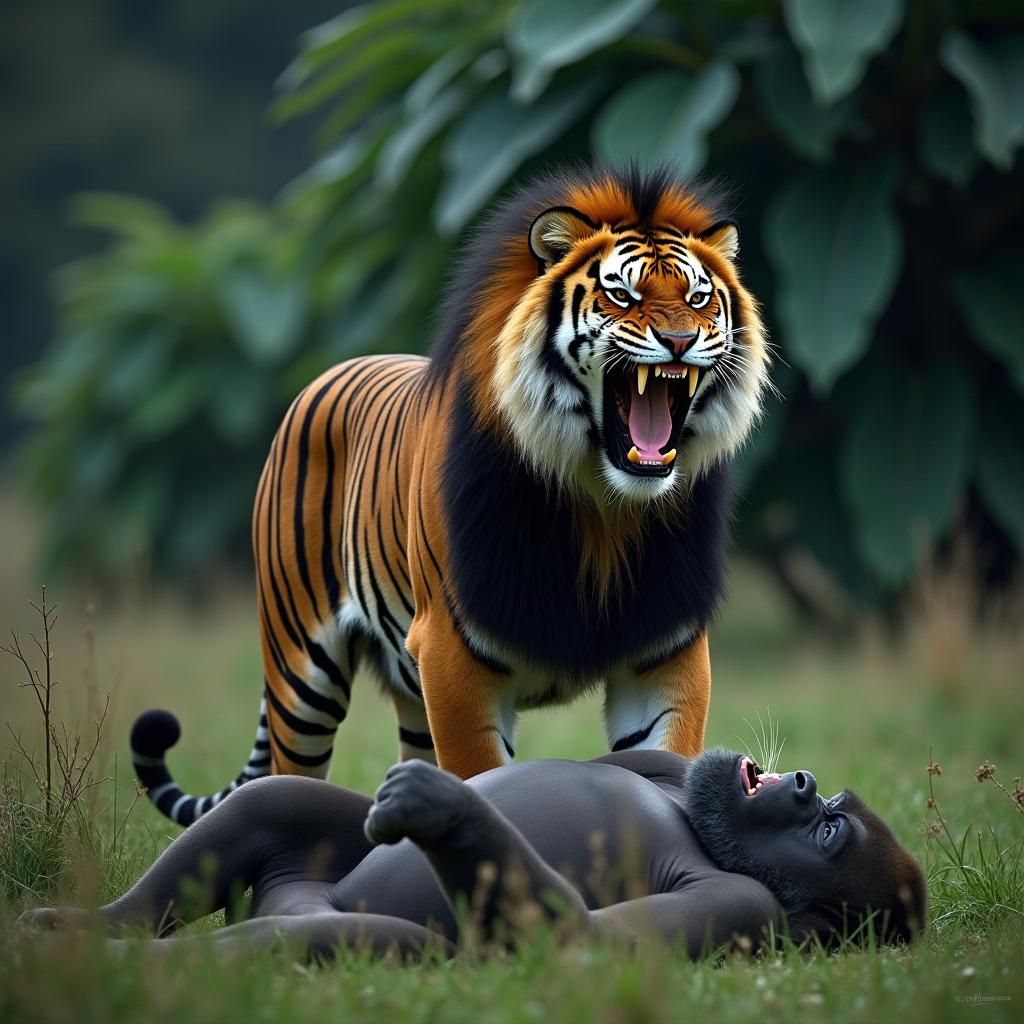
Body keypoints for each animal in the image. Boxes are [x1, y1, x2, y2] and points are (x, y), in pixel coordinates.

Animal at [131, 165, 770, 826]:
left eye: (698, 299)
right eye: (623, 296)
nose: (680, 340)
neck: (601, 505)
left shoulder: (667, 652)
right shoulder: (451, 653)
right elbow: (482, 777)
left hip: (408, 692)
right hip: (301, 673)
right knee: (288, 770)